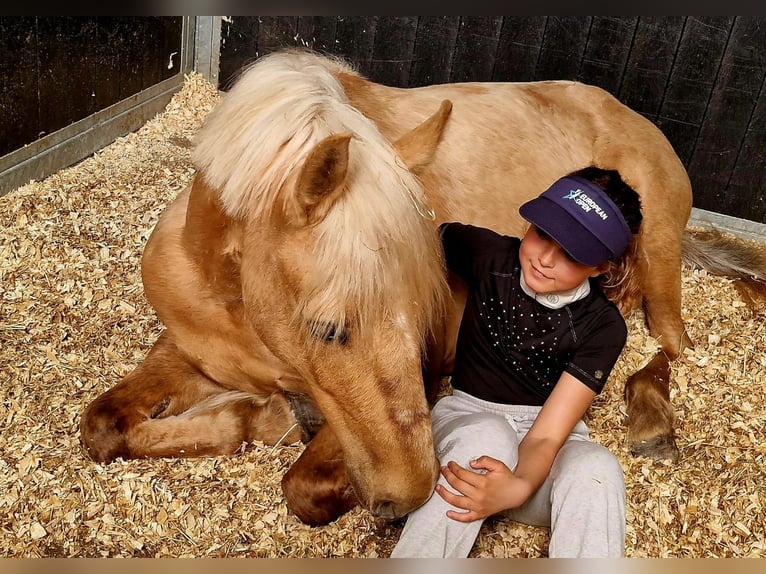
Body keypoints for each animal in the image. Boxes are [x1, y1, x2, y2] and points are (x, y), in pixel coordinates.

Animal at [79, 48, 766, 528]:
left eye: (426, 307)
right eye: (329, 328)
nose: (411, 495)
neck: (236, 308)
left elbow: (302, 484)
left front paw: (273, 422)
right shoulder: (192, 353)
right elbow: (103, 427)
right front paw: (252, 415)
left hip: (661, 253)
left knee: (671, 343)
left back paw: (653, 423)